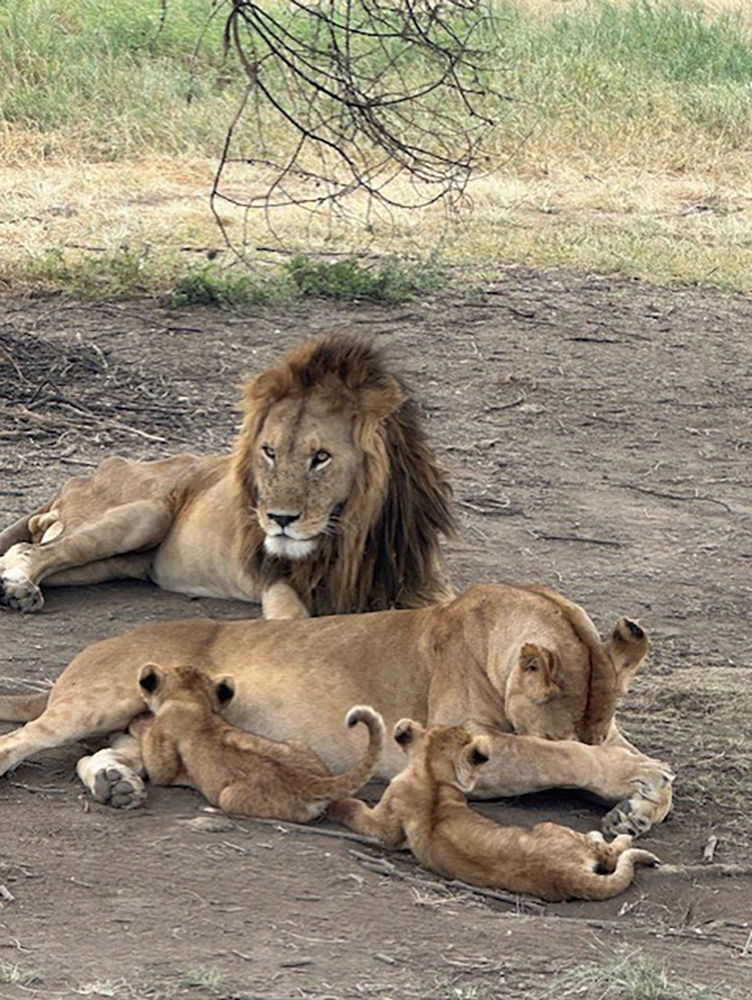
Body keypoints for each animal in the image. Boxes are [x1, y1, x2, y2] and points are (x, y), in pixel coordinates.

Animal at [0, 336, 452, 616]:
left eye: (320, 458)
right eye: (269, 452)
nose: (279, 520)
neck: (351, 537)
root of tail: (80, 478)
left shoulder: (421, 584)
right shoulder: (277, 580)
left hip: (116, 563)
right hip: (144, 514)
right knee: (29, 550)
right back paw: (20, 589)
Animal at [133, 664, 384, 820]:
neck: (190, 700)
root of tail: (313, 780)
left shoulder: (162, 768)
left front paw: (138, 723)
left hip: (228, 797)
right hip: (297, 742)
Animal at [328, 716, 656, 904]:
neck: (433, 774)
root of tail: (566, 876)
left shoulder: (384, 826)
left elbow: (356, 812)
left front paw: (335, 803)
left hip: (551, 827)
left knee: (609, 851)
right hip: (553, 831)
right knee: (607, 853)